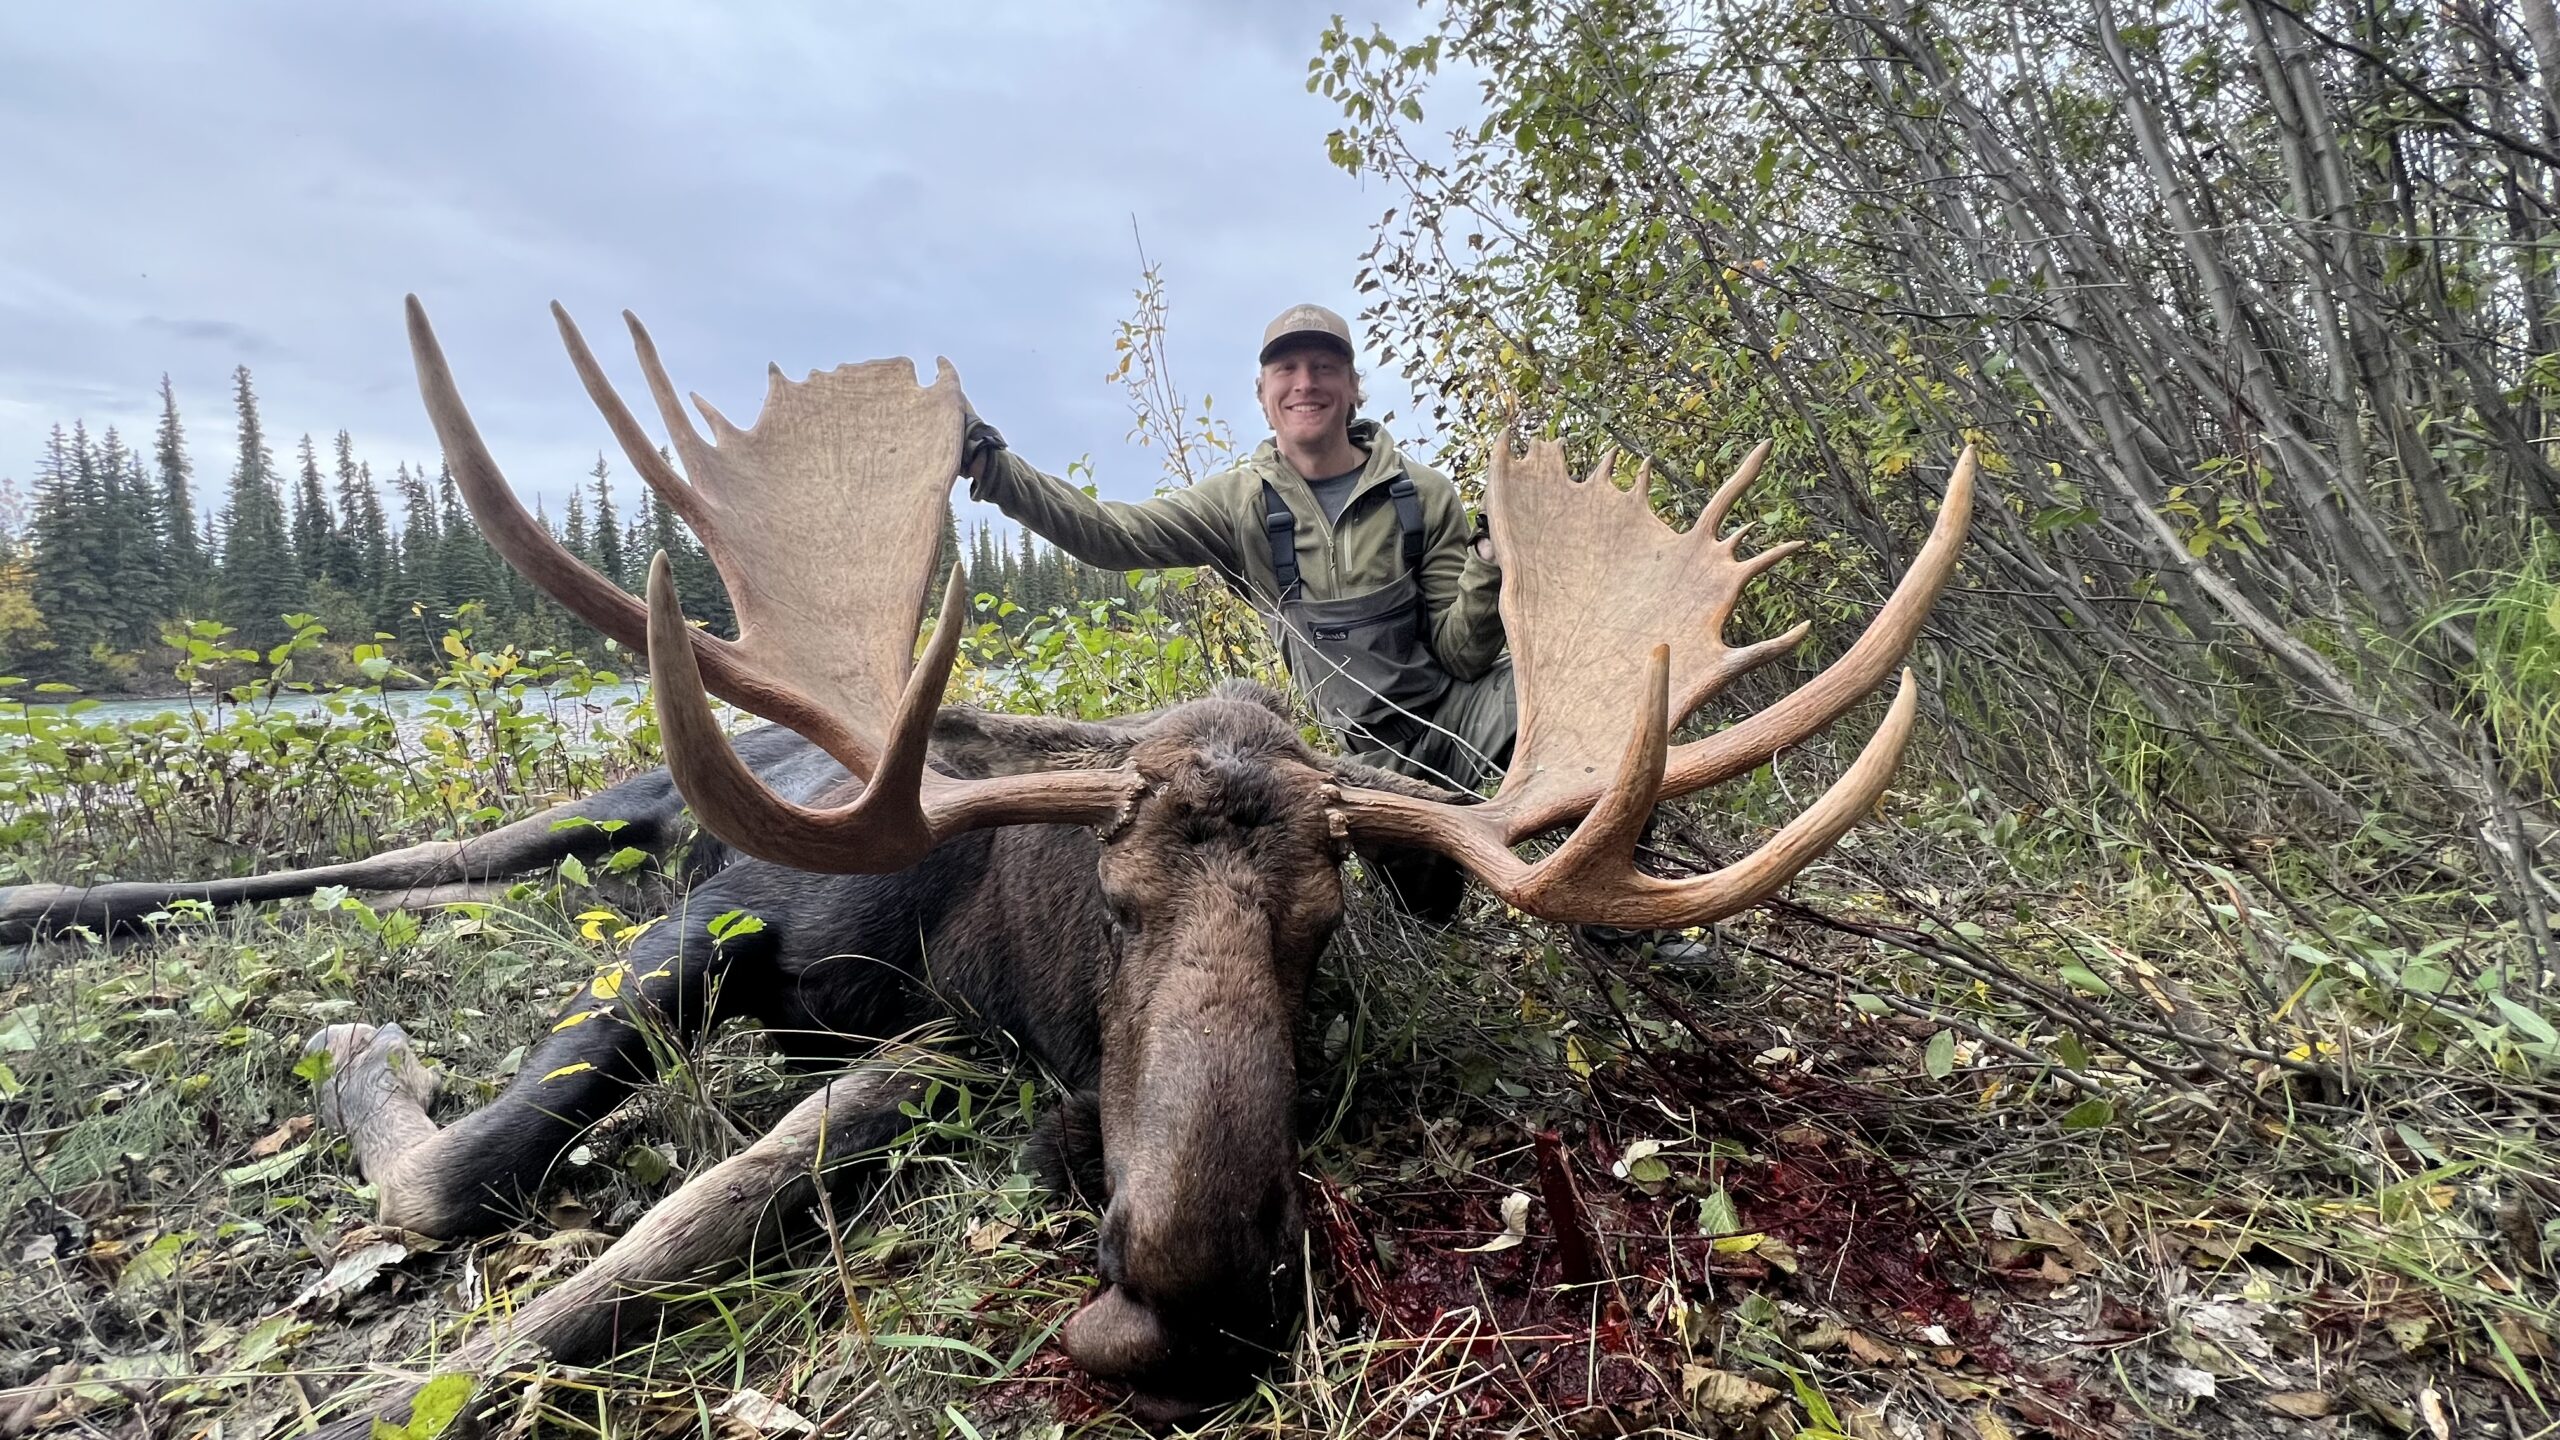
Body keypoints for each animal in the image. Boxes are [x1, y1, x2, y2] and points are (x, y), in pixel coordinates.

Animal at [1, 297, 1972, 1425]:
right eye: (1110, 902)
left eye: (1323, 934)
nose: (1185, 1299)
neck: (994, 948)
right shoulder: (718, 919)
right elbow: (462, 1172)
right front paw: (372, 1081)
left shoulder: (945, 1043)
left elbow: (723, 1197)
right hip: (626, 801)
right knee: (423, 854)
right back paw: (70, 907)